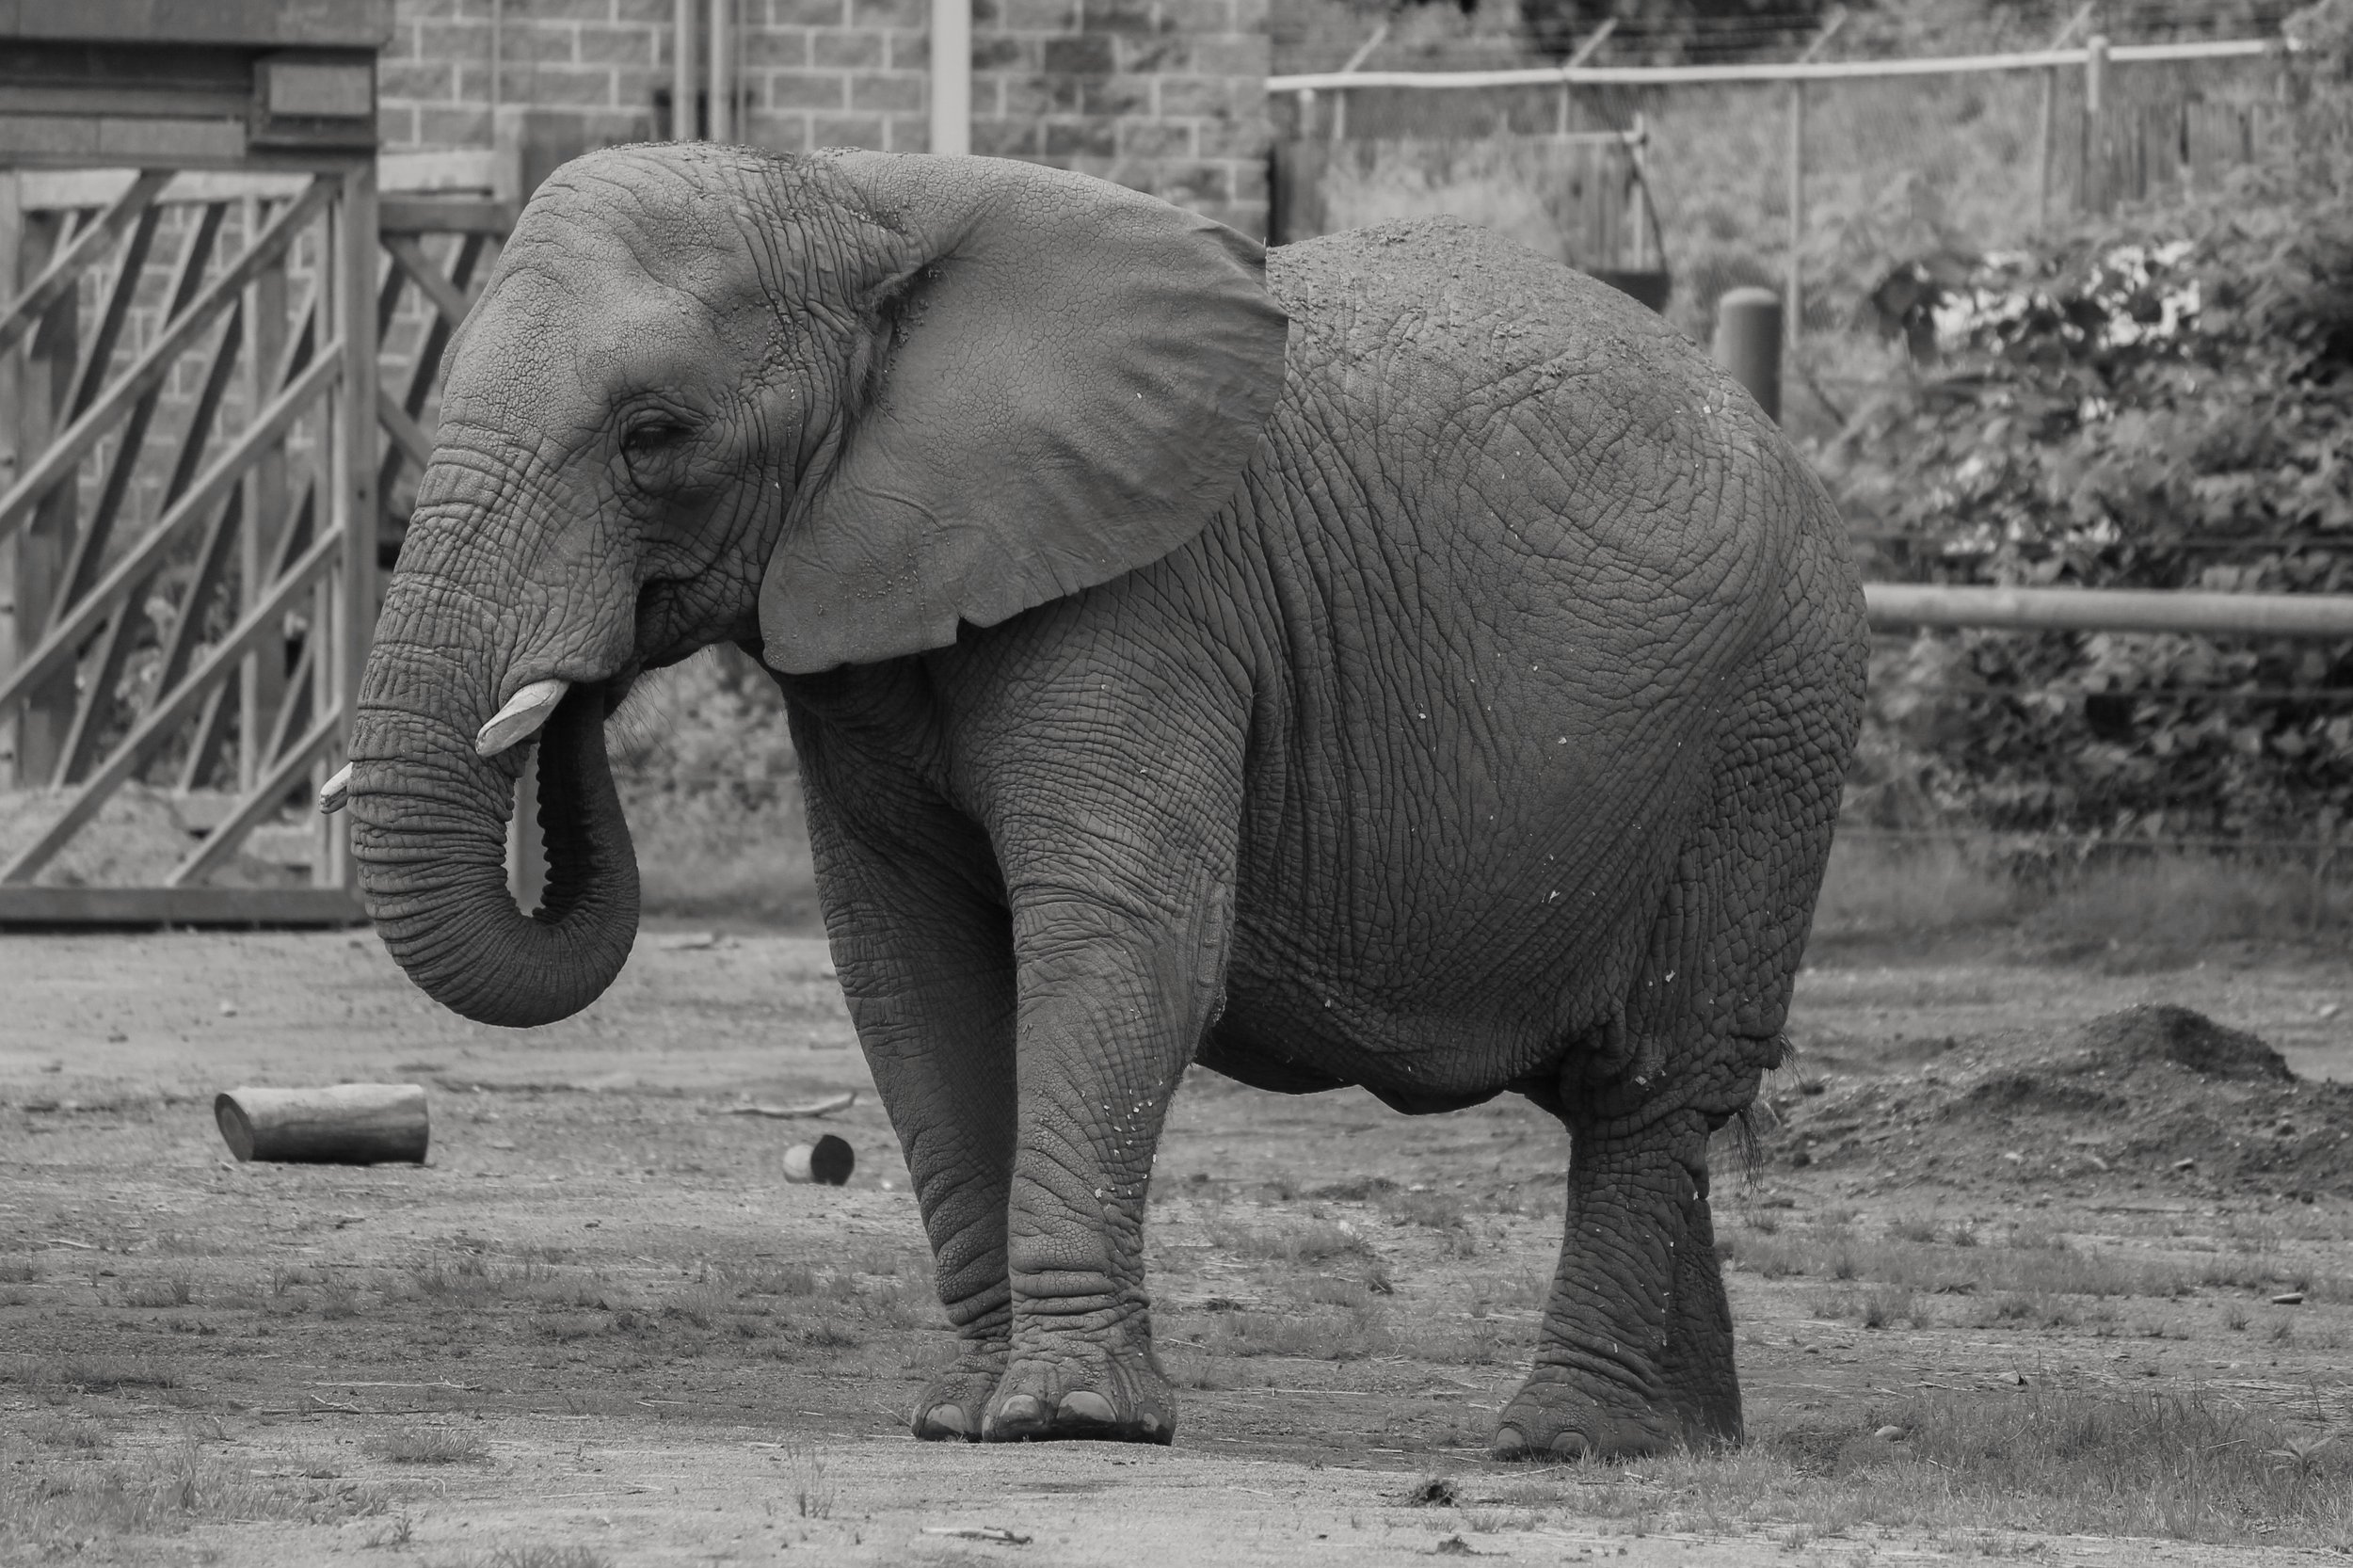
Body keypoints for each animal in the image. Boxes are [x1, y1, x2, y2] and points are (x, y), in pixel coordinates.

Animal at [342, 142, 1867, 1460]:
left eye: (652, 434)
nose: (574, 690)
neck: (862, 196)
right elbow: (913, 978)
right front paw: (956, 1413)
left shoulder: (1151, 595)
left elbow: (1123, 945)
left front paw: (1064, 1419)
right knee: (1629, 1098)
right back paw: (1688, 1444)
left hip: (1767, 736)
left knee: (1650, 1080)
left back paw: (1563, 1440)